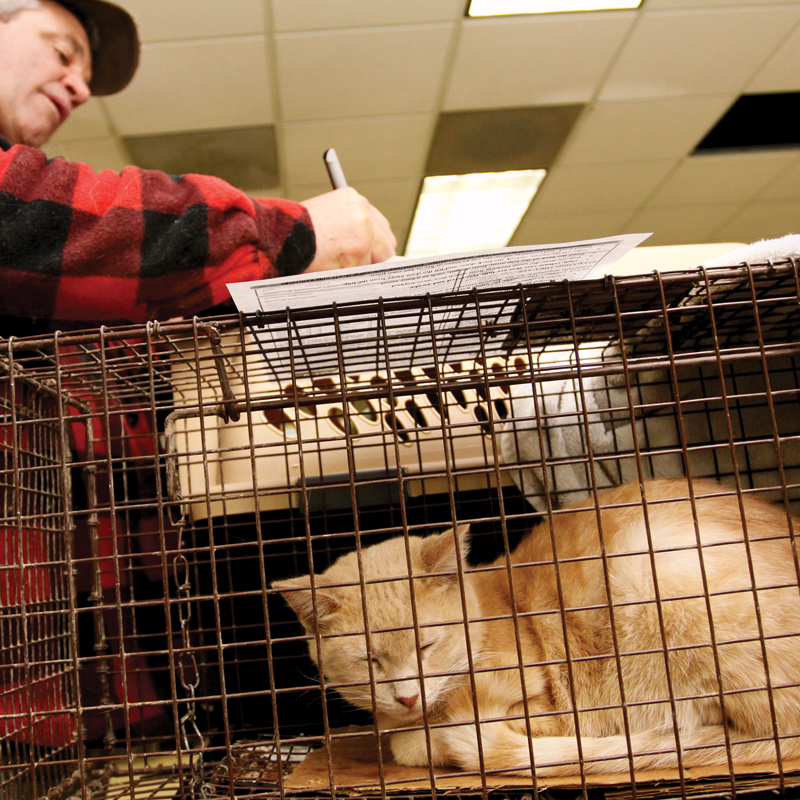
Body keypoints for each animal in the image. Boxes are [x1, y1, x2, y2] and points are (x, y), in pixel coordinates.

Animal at [274, 482, 800, 776]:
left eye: (427, 645)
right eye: (371, 660)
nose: (406, 697)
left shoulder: (551, 713)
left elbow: (415, 745)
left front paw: (423, 739)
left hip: (658, 573)